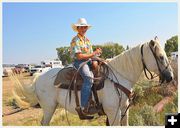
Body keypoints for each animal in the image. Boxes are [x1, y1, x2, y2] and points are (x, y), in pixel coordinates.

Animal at [12, 38, 173, 126]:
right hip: (48, 107)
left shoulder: (123, 110)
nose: (171, 76)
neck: (118, 77)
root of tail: (39, 75)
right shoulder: (113, 113)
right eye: (160, 56)